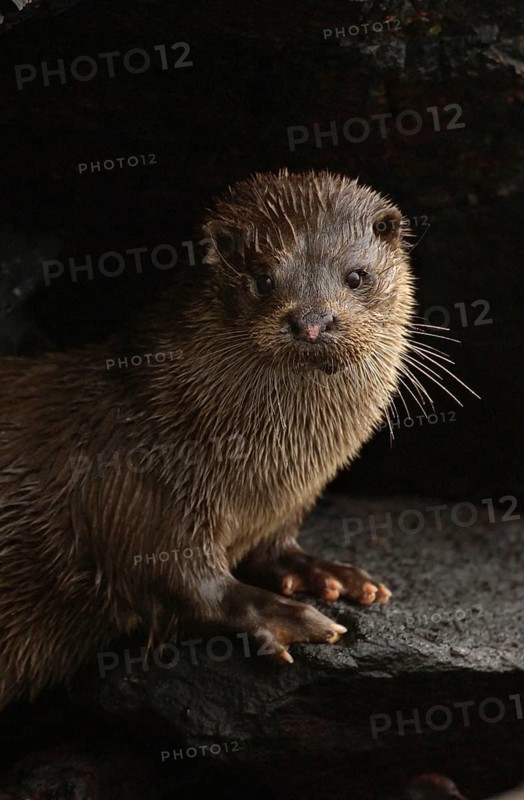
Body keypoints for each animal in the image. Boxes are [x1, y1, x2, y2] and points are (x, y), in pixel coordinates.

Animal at [0, 169, 416, 707]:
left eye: (356, 276)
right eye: (263, 279)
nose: (312, 322)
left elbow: (272, 550)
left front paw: (325, 573)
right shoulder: (132, 492)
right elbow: (187, 583)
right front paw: (284, 615)